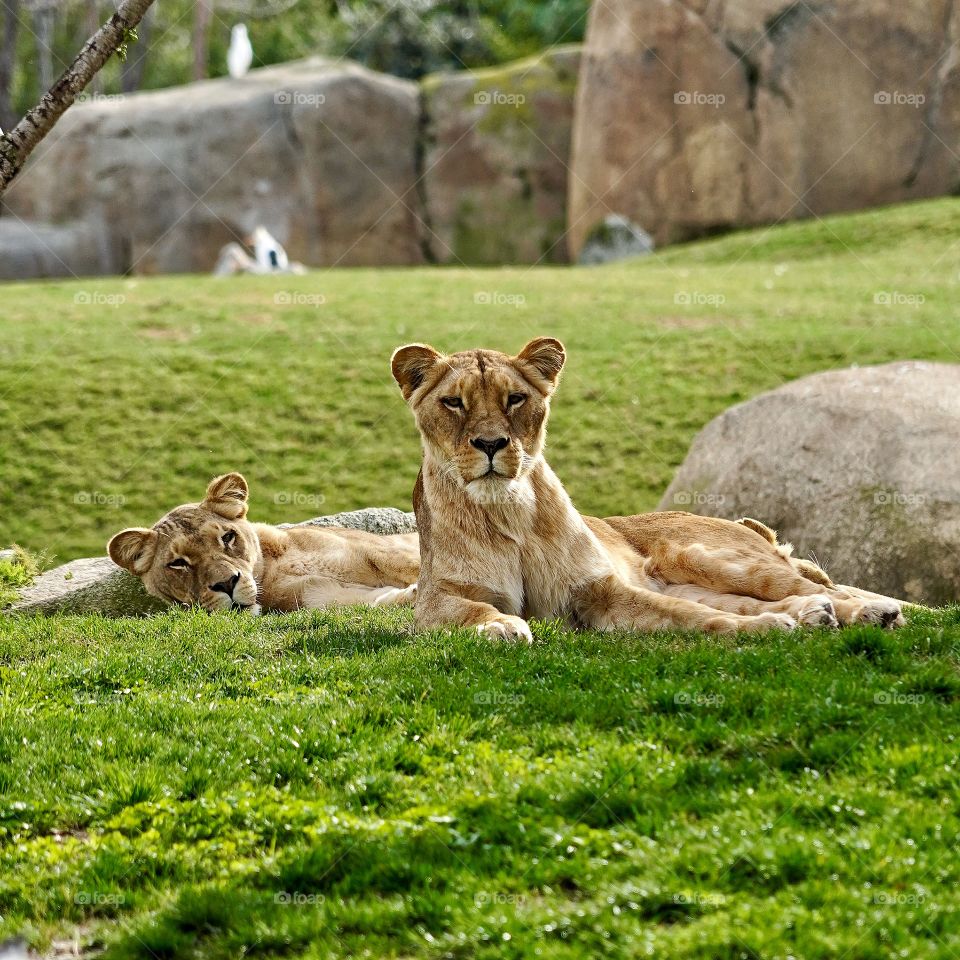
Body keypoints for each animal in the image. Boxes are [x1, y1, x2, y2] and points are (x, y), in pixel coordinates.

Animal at [108, 473, 419, 614]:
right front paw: (410, 596)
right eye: (178, 563)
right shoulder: (319, 596)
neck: (274, 568)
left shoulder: (384, 552)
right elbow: (376, 601)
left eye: (227, 537)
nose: (226, 584)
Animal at [390, 337, 904, 641]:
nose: (491, 444)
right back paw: (813, 614)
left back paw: (872, 611)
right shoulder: (435, 602)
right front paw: (502, 626)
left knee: (813, 586)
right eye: (453, 403)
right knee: (780, 598)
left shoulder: (600, 592)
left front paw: (763, 628)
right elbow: (471, 611)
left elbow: (687, 616)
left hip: (711, 558)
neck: (509, 509)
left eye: (515, 399)